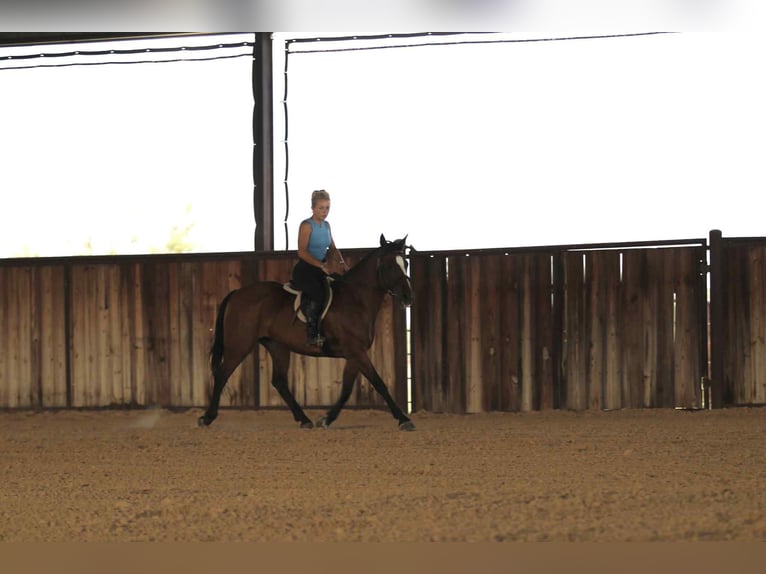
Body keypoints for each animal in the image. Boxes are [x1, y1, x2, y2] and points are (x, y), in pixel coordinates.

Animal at [197, 234, 416, 431]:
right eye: (389, 266)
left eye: (405, 263)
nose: (408, 297)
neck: (356, 299)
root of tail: (237, 293)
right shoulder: (356, 351)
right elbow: (379, 383)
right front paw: (403, 419)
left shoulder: (355, 354)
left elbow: (346, 389)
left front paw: (326, 419)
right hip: (240, 345)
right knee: (222, 374)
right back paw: (207, 418)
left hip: (277, 346)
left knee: (279, 381)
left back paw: (304, 419)